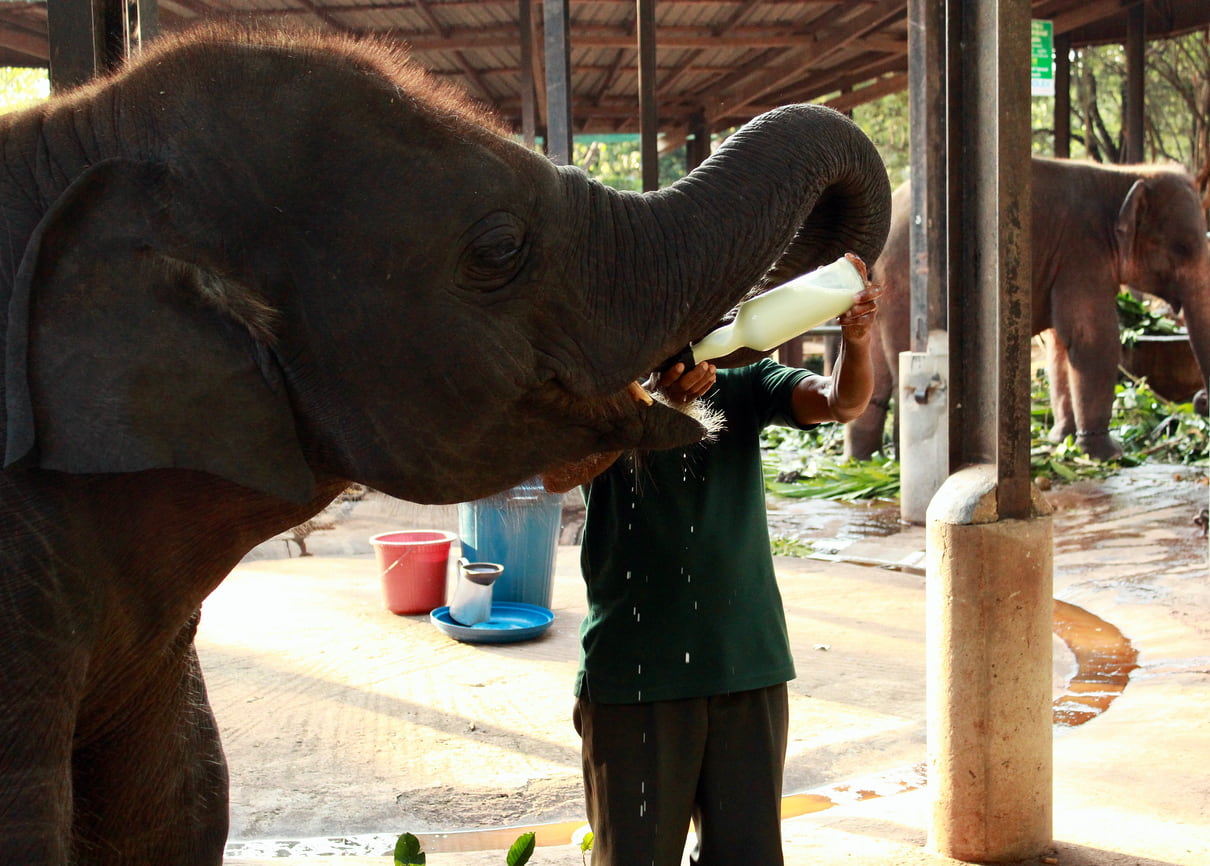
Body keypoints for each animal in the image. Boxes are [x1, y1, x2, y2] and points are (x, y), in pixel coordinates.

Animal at [847, 158, 1210, 464]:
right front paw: (1107, 456)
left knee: (875, 370)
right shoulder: (1082, 252)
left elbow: (1061, 348)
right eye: (1183, 248)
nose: (1200, 401)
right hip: (905, 282)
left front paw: (1062, 440)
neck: (1124, 175)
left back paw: (862, 461)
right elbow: (1092, 341)